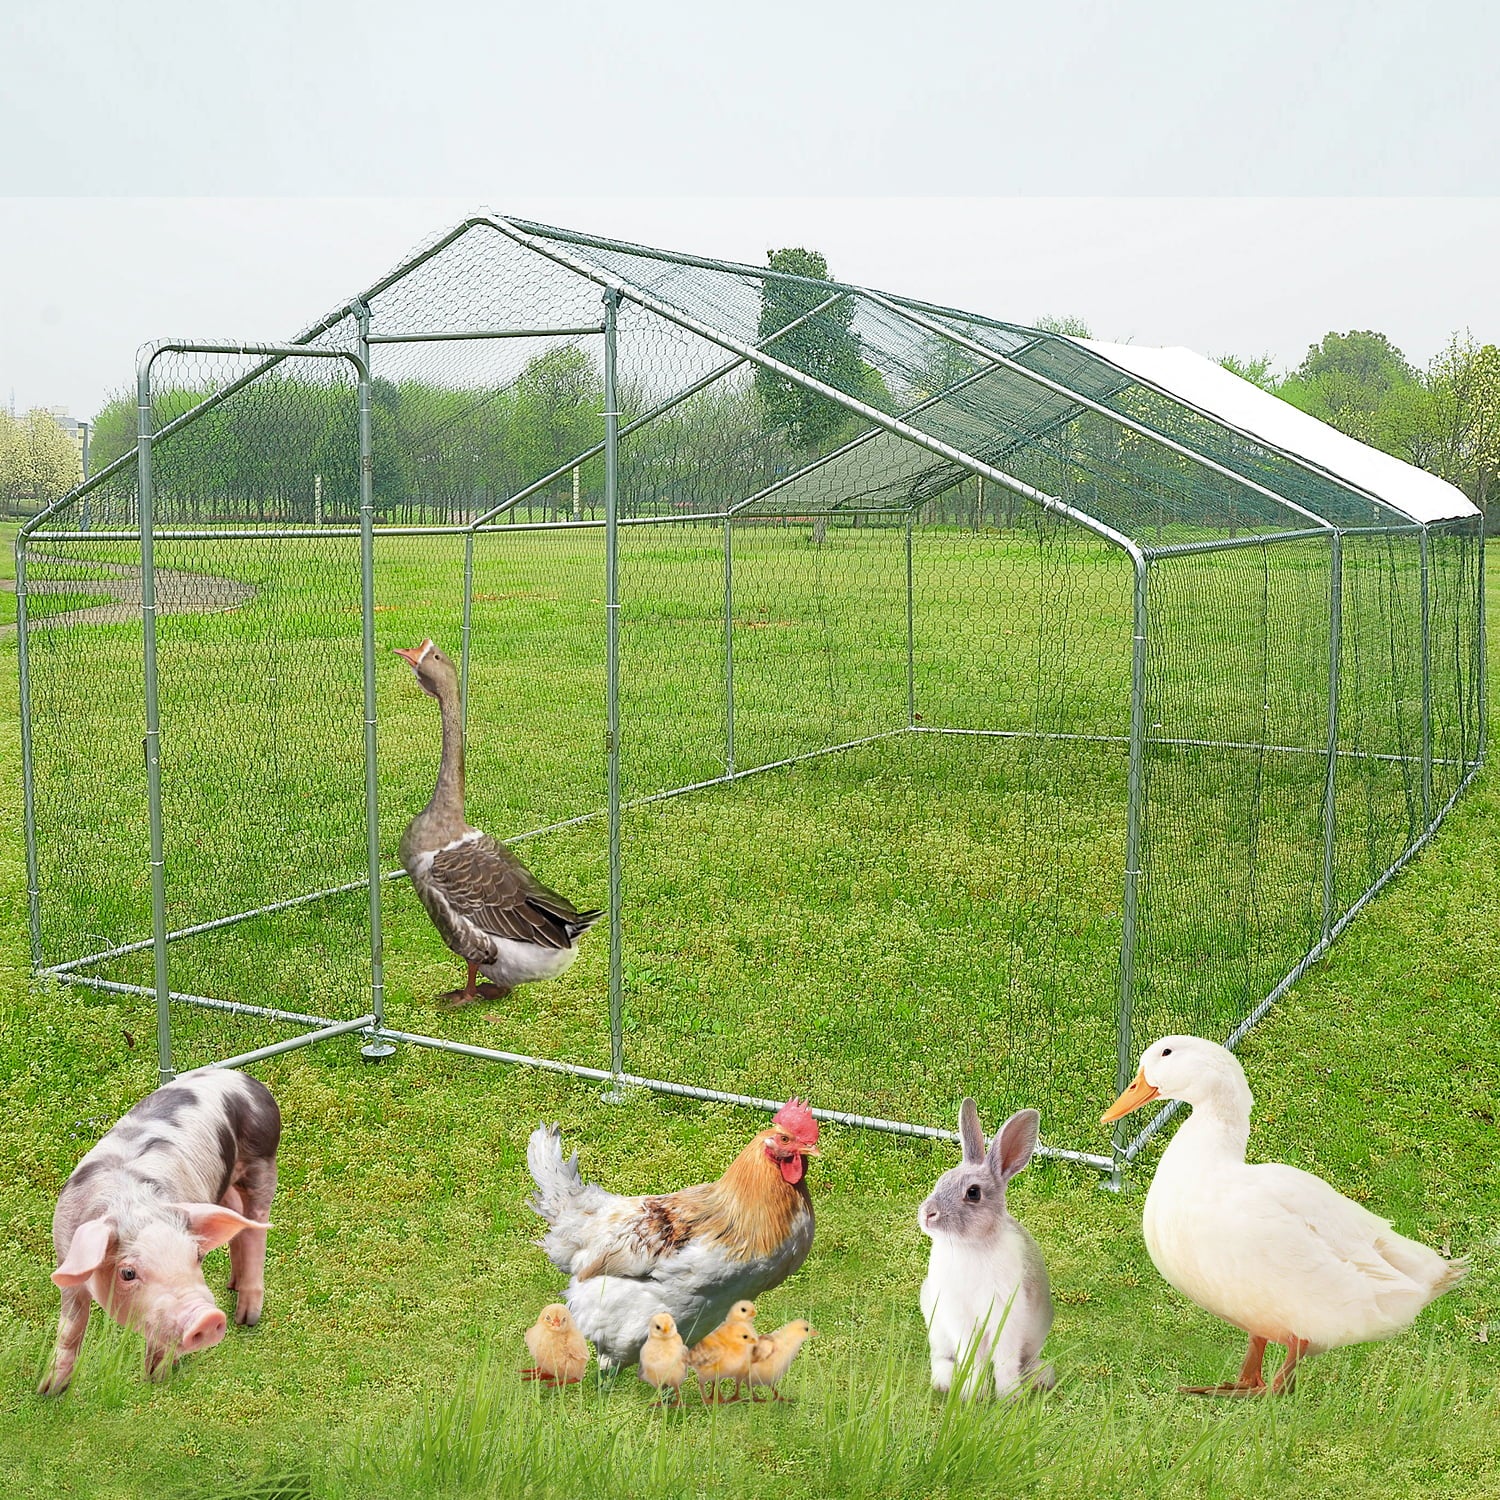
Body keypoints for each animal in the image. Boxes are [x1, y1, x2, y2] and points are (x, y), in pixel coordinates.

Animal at [918, 1100, 1055, 1401]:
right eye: (941, 1180)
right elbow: (973, 1359)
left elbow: (1005, 1361)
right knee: (941, 1357)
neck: (970, 1246)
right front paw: (973, 1394)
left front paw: (1009, 1397)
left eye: (973, 1192)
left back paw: (1040, 1378)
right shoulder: (960, 1318)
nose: (927, 1213)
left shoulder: (1007, 1314)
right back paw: (945, 1382)